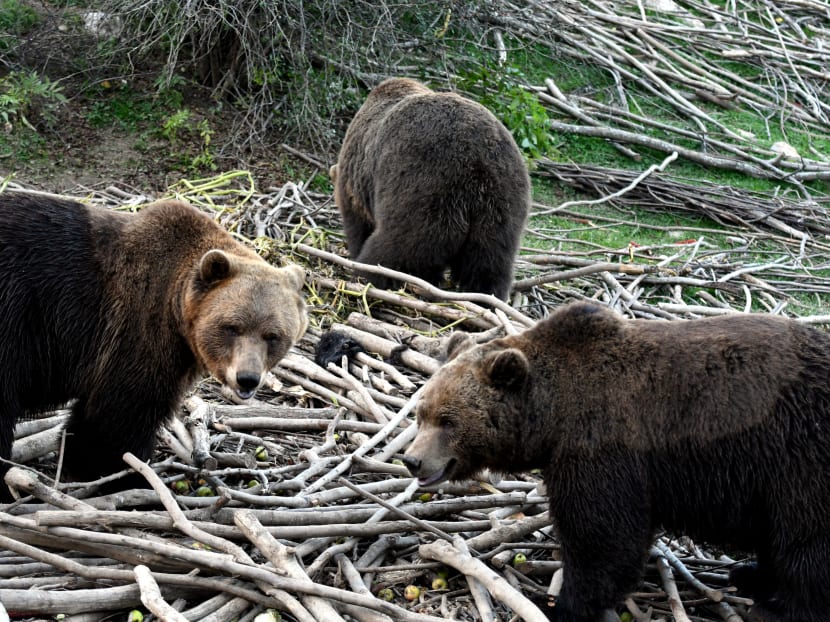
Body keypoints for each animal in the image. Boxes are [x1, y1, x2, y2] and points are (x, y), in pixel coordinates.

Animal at [0, 193, 307, 493]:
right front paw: (125, 474)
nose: (247, 378)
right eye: (232, 327)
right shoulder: (138, 329)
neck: (178, 312)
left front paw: (81, 462)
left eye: (273, 335)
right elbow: (122, 413)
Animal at [331, 77, 530, 300]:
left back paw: (369, 271)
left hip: (423, 186)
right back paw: (486, 296)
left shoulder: (356, 179)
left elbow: (357, 223)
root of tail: (477, 163)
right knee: (490, 260)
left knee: (399, 243)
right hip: (502, 202)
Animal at [402, 301, 830, 622]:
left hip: (799, 454)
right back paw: (750, 575)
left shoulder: (603, 444)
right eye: (421, 413)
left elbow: (601, 534)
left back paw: (778, 608)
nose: (413, 461)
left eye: (448, 420)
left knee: (806, 538)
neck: (554, 411)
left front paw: (561, 605)